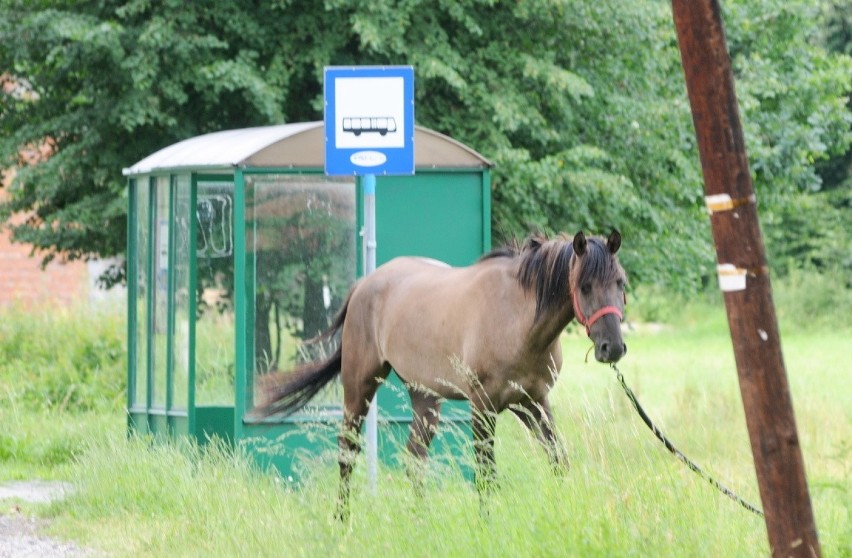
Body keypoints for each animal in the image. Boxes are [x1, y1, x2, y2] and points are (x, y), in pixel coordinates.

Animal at [251, 229, 624, 516]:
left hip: (425, 396)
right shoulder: (484, 406)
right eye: (585, 286)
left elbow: (558, 460)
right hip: (359, 387)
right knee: (348, 452)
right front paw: (486, 525)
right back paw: (342, 521)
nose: (613, 347)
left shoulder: (533, 401)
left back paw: (421, 520)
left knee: (414, 459)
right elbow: (486, 474)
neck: (517, 318)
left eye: (621, 282)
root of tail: (364, 284)